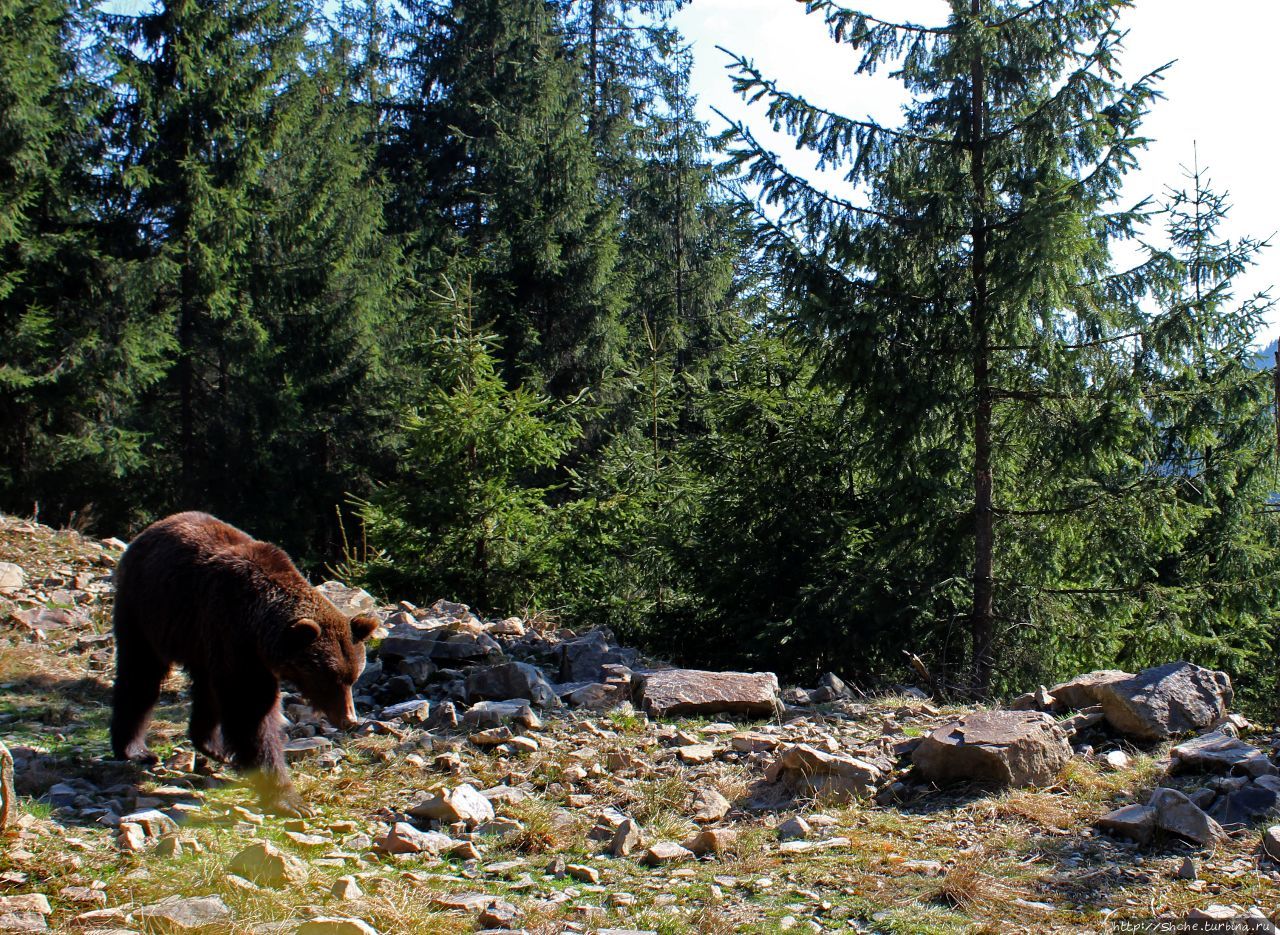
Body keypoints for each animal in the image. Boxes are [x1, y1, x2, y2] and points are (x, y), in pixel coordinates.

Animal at [110, 512, 373, 814]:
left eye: (353, 678)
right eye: (329, 678)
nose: (349, 720)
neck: (258, 627)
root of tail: (153, 528)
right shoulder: (233, 632)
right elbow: (251, 709)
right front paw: (288, 798)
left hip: (195, 637)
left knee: (205, 688)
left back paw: (214, 747)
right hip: (146, 608)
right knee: (141, 673)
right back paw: (135, 750)